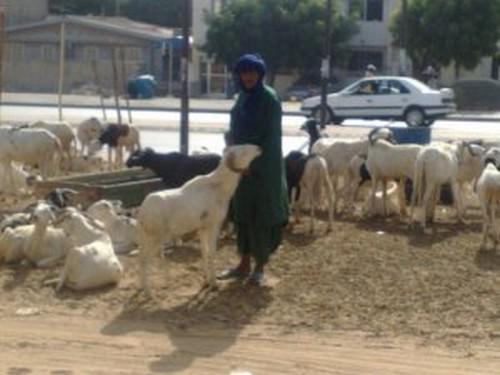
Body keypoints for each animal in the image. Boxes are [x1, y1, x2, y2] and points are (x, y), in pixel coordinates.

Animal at [137, 144, 262, 296]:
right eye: (242, 152)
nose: (259, 148)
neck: (219, 187)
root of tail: (143, 211)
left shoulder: (202, 227)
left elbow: (205, 252)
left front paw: (207, 281)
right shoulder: (214, 225)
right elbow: (212, 253)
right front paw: (214, 284)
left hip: (145, 236)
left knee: (140, 258)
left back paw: (141, 288)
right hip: (156, 237)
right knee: (144, 260)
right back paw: (148, 292)